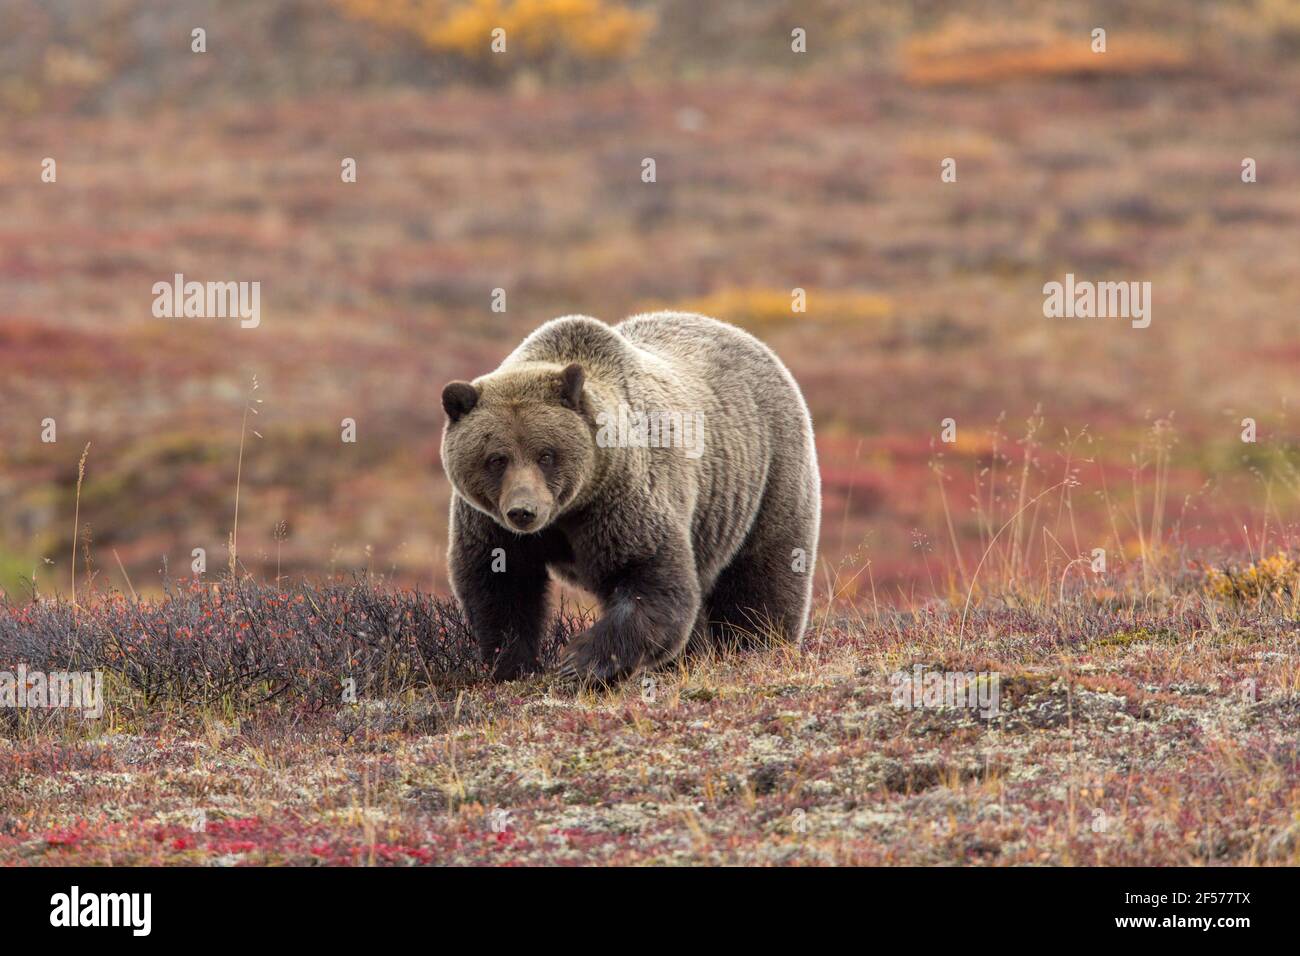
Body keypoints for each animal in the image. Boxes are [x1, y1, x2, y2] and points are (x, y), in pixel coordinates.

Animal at [441, 310, 816, 686]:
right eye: (496, 458)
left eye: (546, 455)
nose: (523, 512)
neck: (569, 509)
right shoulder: (490, 524)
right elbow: (501, 585)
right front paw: (513, 665)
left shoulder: (620, 499)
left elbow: (650, 578)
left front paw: (579, 661)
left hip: (764, 475)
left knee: (762, 576)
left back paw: (759, 645)